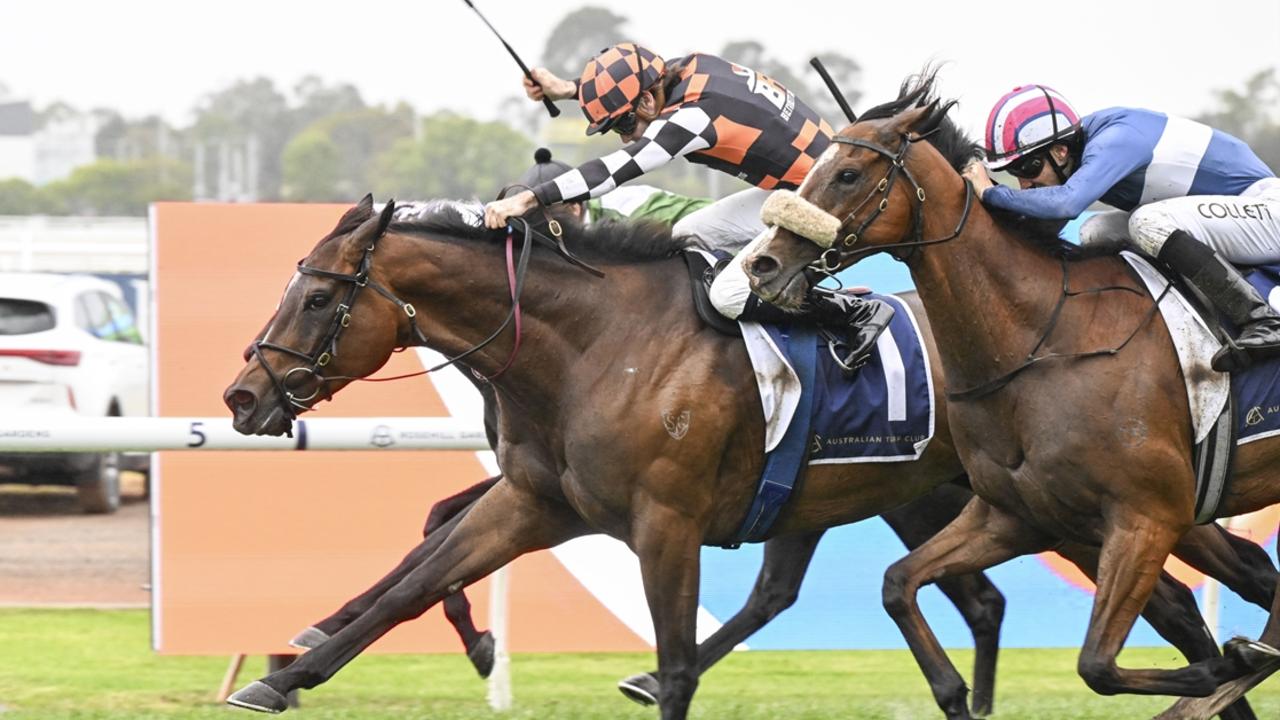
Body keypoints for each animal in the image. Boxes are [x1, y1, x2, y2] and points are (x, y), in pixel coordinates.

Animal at [225, 196, 1274, 717]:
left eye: (318, 296)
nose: (242, 397)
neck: (597, 346)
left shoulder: (666, 523)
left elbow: (680, 662)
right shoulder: (536, 502)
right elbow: (412, 581)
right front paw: (279, 678)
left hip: (1079, 505)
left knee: (1181, 601)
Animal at [747, 70, 1280, 712]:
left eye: (847, 173)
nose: (762, 264)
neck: (1044, 341)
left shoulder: (1145, 518)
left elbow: (1098, 664)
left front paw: (1226, 664)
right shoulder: (1014, 516)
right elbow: (898, 584)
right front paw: (954, 692)